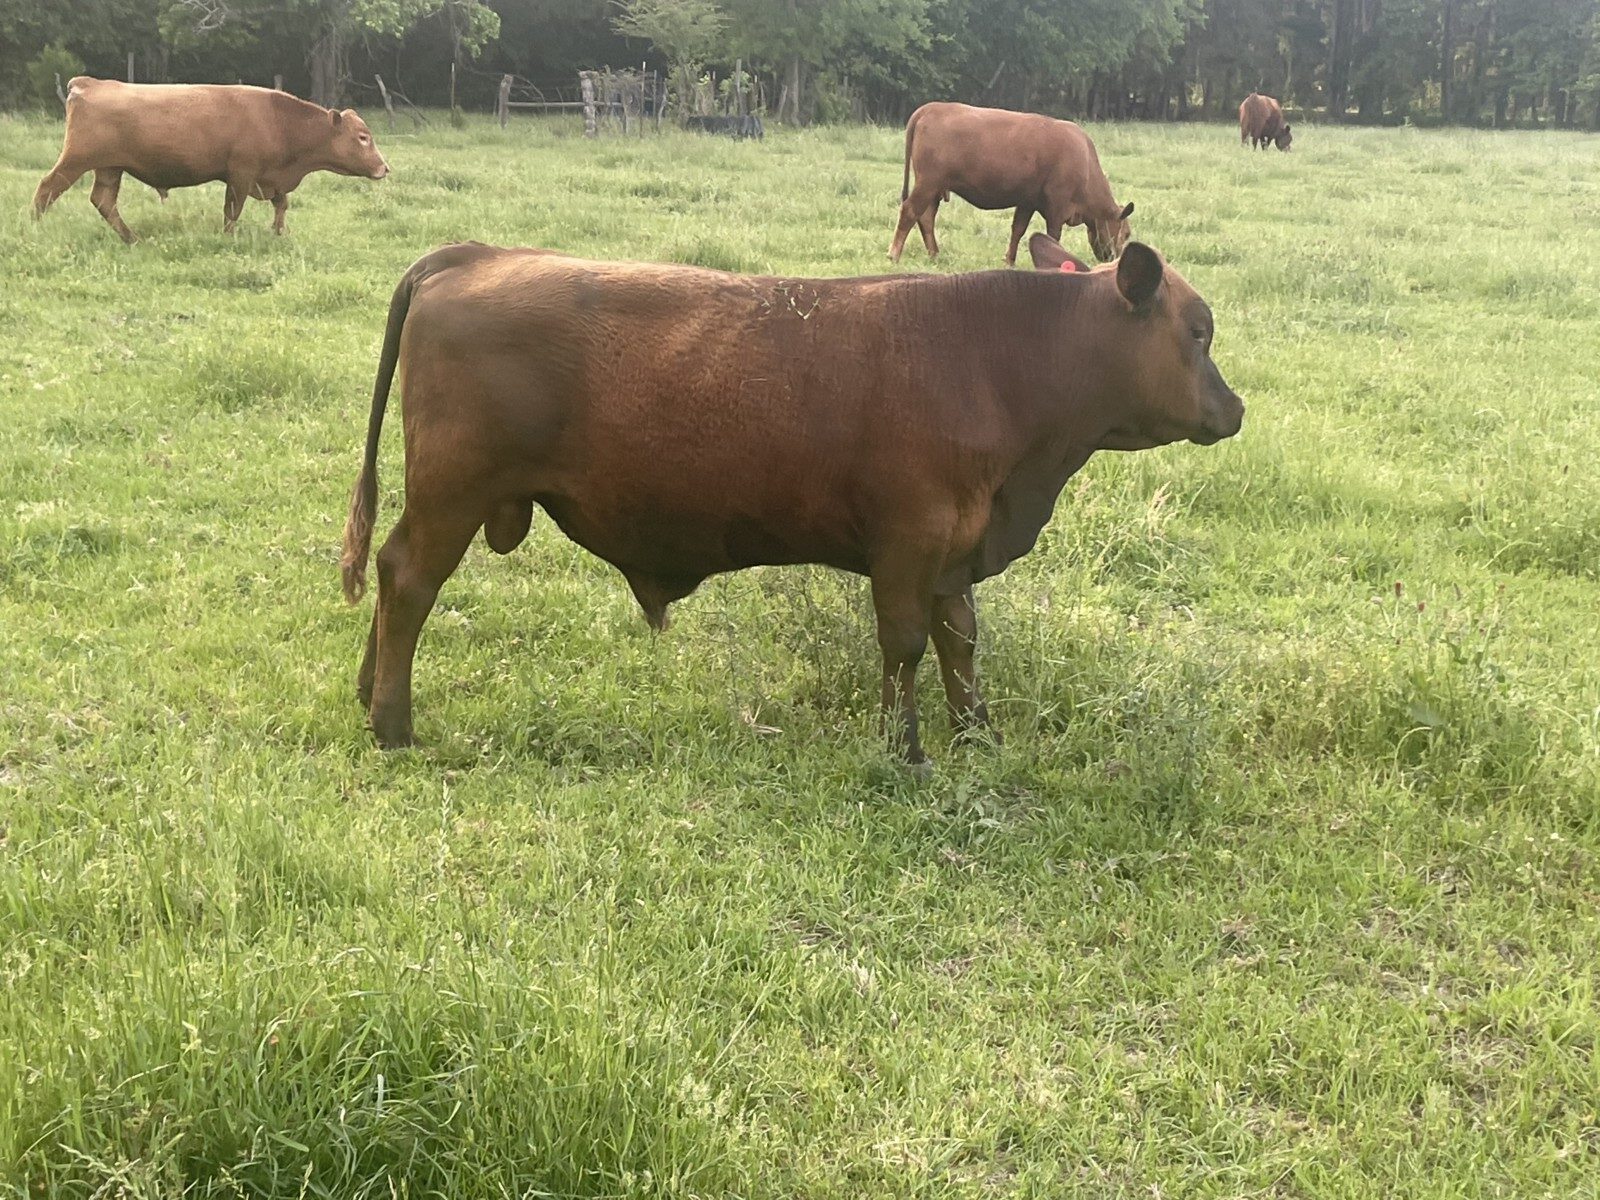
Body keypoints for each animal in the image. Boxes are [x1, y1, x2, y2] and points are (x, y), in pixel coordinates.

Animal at [32, 77, 389, 244]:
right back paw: (35, 228)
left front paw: (277, 231)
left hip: (110, 168)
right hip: (76, 161)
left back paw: (132, 238)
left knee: (104, 202)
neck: (279, 120)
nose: (384, 167)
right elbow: (233, 210)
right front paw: (229, 237)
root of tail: (89, 83)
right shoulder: (241, 175)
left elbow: (281, 204)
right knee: (46, 190)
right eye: (363, 137)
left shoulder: (268, 179)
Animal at [339, 234, 1244, 762]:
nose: (1234, 410)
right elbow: (905, 645)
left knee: (388, 571)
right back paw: (393, 725)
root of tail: (473, 254)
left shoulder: (955, 547)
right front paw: (904, 749)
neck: (996, 361)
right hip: (453, 491)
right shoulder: (910, 541)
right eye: (1198, 332)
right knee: (409, 581)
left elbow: (960, 642)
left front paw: (977, 736)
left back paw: (366, 694)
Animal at [888, 102, 1134, 268]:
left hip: (934, 188)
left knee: (926, 217)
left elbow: (1018, 230)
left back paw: (934, 254)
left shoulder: (1027, 201)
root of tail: (931, 107)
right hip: (928, 183)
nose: (1115, 260)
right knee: (910, 211)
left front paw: (1009, 260)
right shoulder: (1057, 206)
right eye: (1127, 233)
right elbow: (1052, 236)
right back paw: (894, 254)